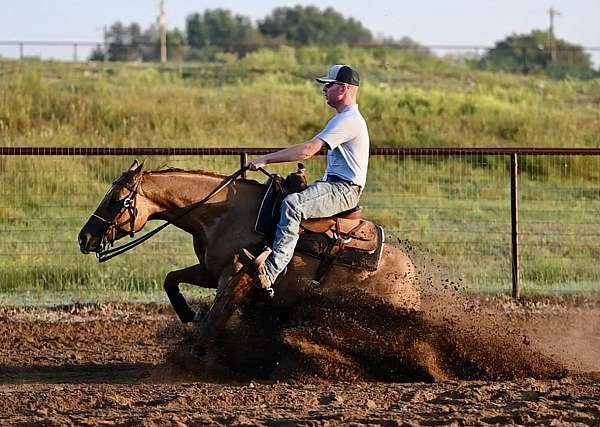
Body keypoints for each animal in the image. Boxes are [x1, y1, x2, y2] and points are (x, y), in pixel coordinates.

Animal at [77, 160, 420, 328]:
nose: (84, 237)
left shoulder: (231, 275)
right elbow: (171, 279)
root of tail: (411, 276)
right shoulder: (209, 270)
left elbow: (218, 311)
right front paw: (187, 314)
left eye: (117, 199)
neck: (222, 213)